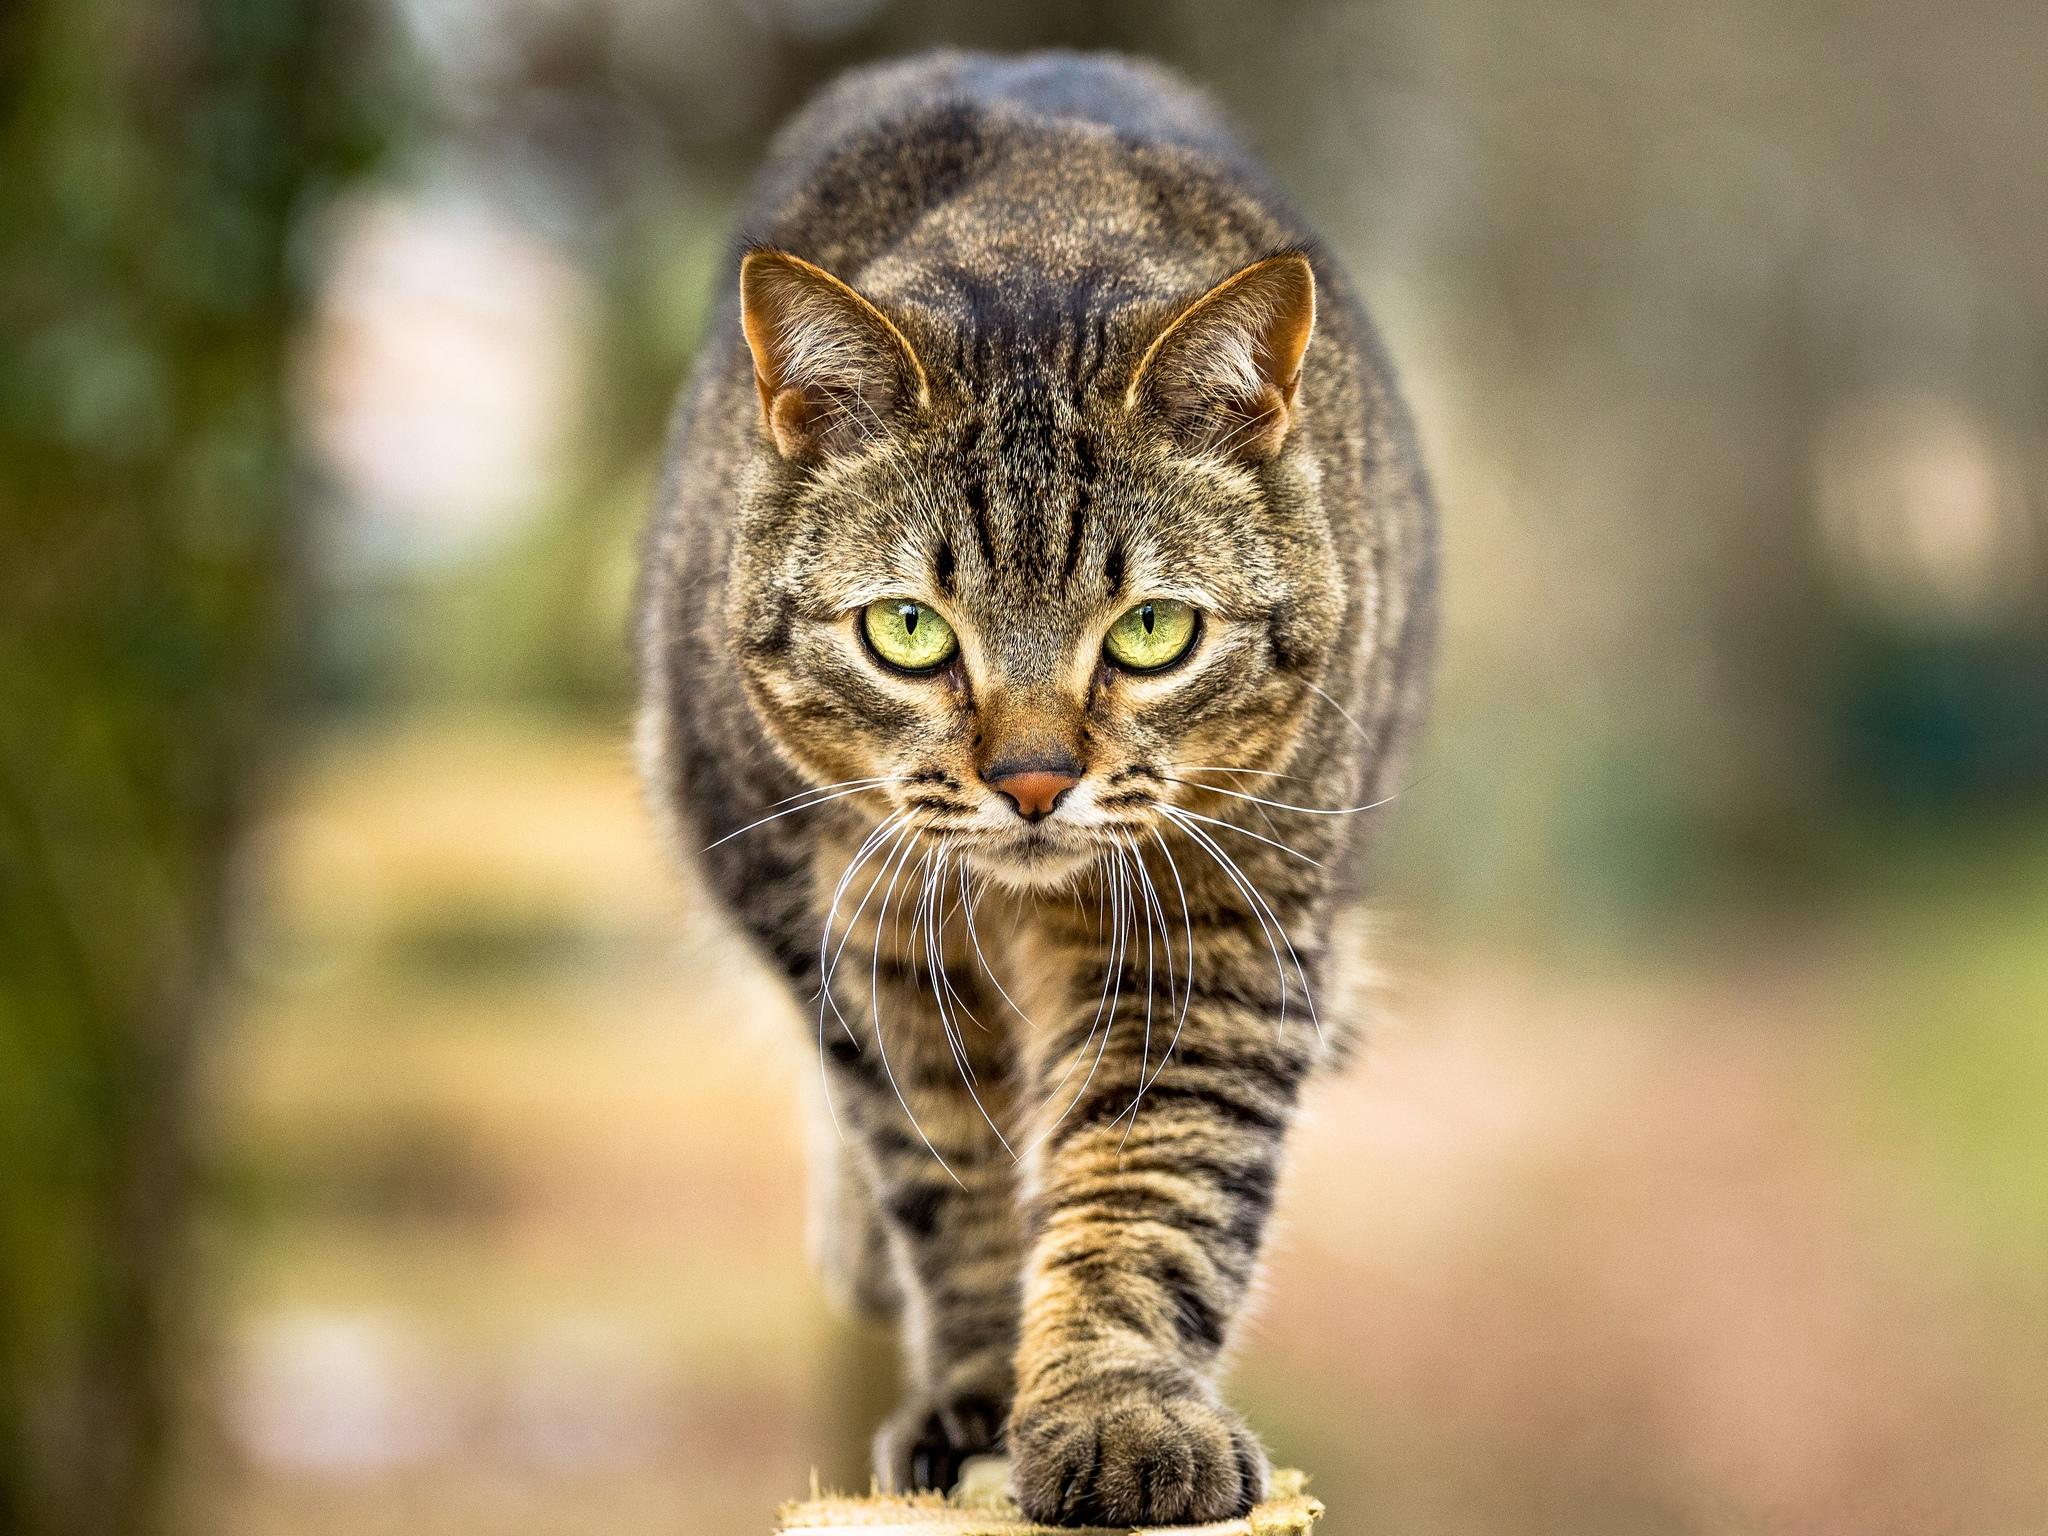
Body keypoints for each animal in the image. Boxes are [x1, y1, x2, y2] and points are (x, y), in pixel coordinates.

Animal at [630, 45, 1433, 1531]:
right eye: (907, 631)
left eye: (1151, 633)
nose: (1035, 780)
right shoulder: (872, 947)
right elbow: (948, 1180)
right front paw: (982, 1391)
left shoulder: (1214, 941)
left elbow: (1147, 1188)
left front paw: (1116, 1408)